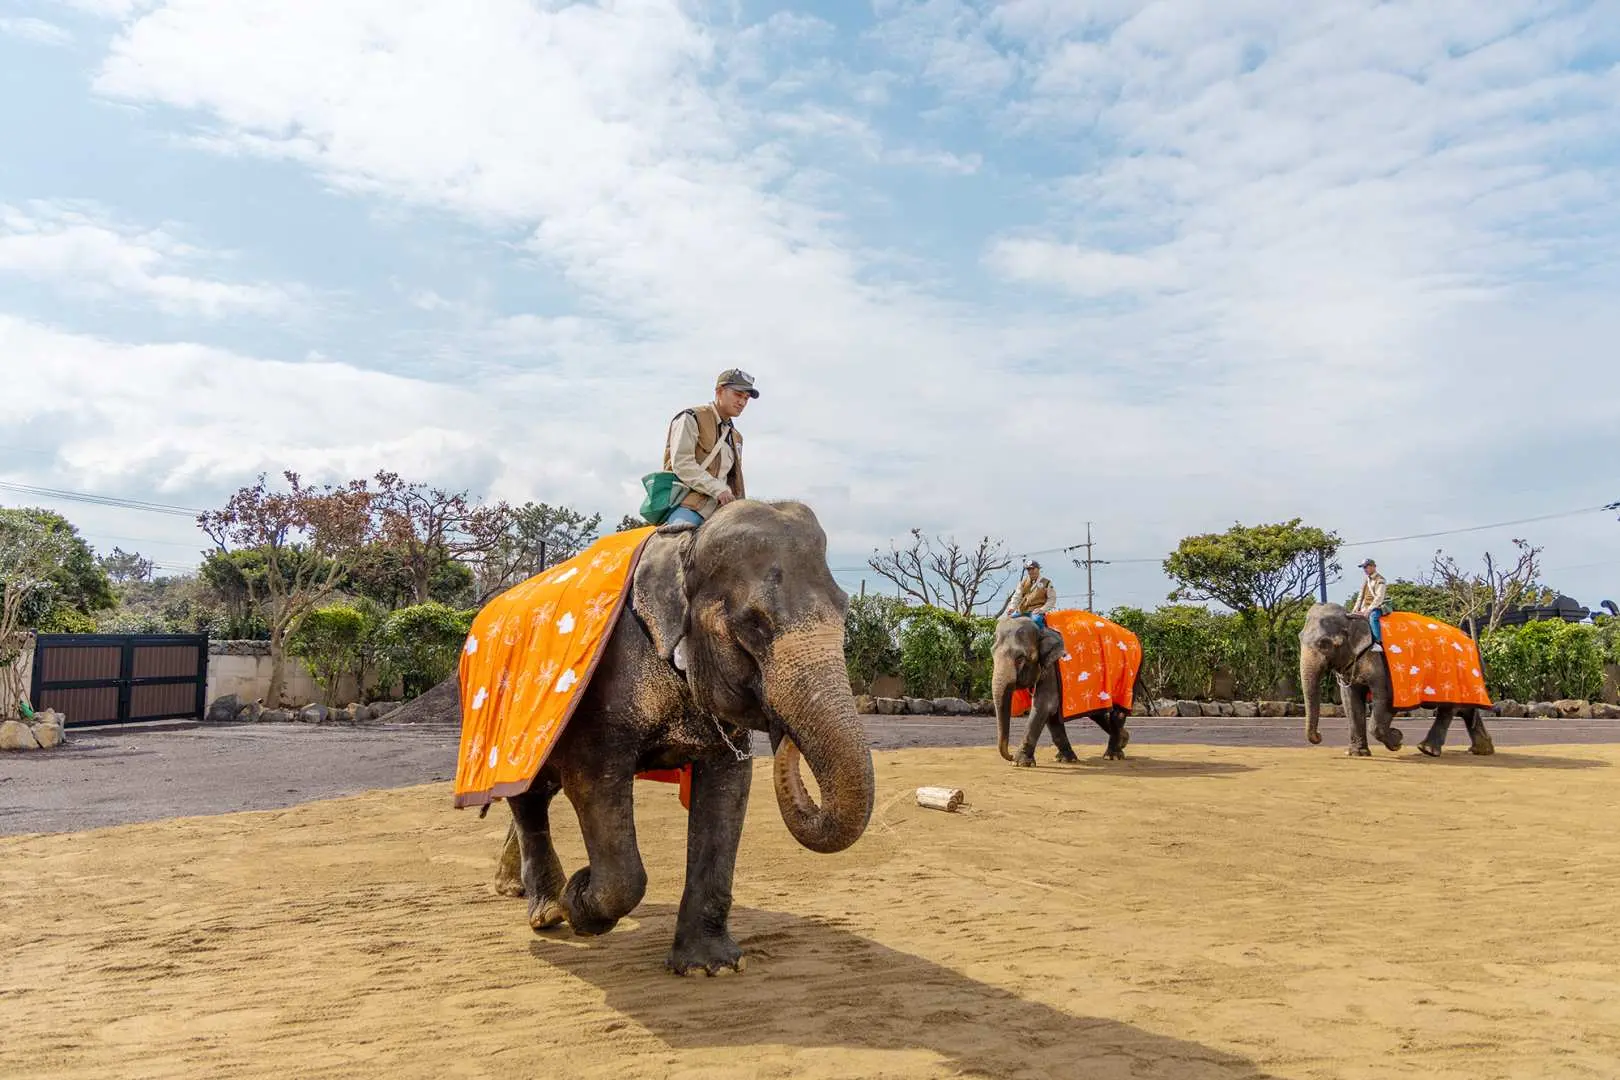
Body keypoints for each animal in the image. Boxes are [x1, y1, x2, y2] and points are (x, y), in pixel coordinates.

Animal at [486, 499, 875, 975]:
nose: (784, 735)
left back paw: (521, 892)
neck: (686, 547)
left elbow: (729, 786)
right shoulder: (603, 690)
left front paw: (712, 967)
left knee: (535, 791)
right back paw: (547, 912)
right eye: (754, 624)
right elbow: (594, 781)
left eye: (845, 612)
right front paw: (579, 896)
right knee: (526, 794)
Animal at [990, 615, 1130, 766]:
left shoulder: (1051, 668)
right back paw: (1123, 740)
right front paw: (1065, 759)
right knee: (1097, 713)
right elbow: (1052, 714)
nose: (1009, 755)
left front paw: (1019, 763)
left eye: (1020, 658)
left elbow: (1044, 706)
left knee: (1118, 712)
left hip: (1126, 677)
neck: (1041, 629)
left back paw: (1112, 755)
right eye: (992, 653)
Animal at [1298, 602, 1495, 758]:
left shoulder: (1382, 665)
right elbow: (1350, 701)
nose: (1319, 736)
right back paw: (1481, 751)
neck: (1353, 618)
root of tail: (1472, 642)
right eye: (1299, 638)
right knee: (1465, 709)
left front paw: (1397, 740)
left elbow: (1384, 700)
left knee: (1449, 709)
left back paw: (1428, 750)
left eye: (1325, 644)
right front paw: (1357, 754)